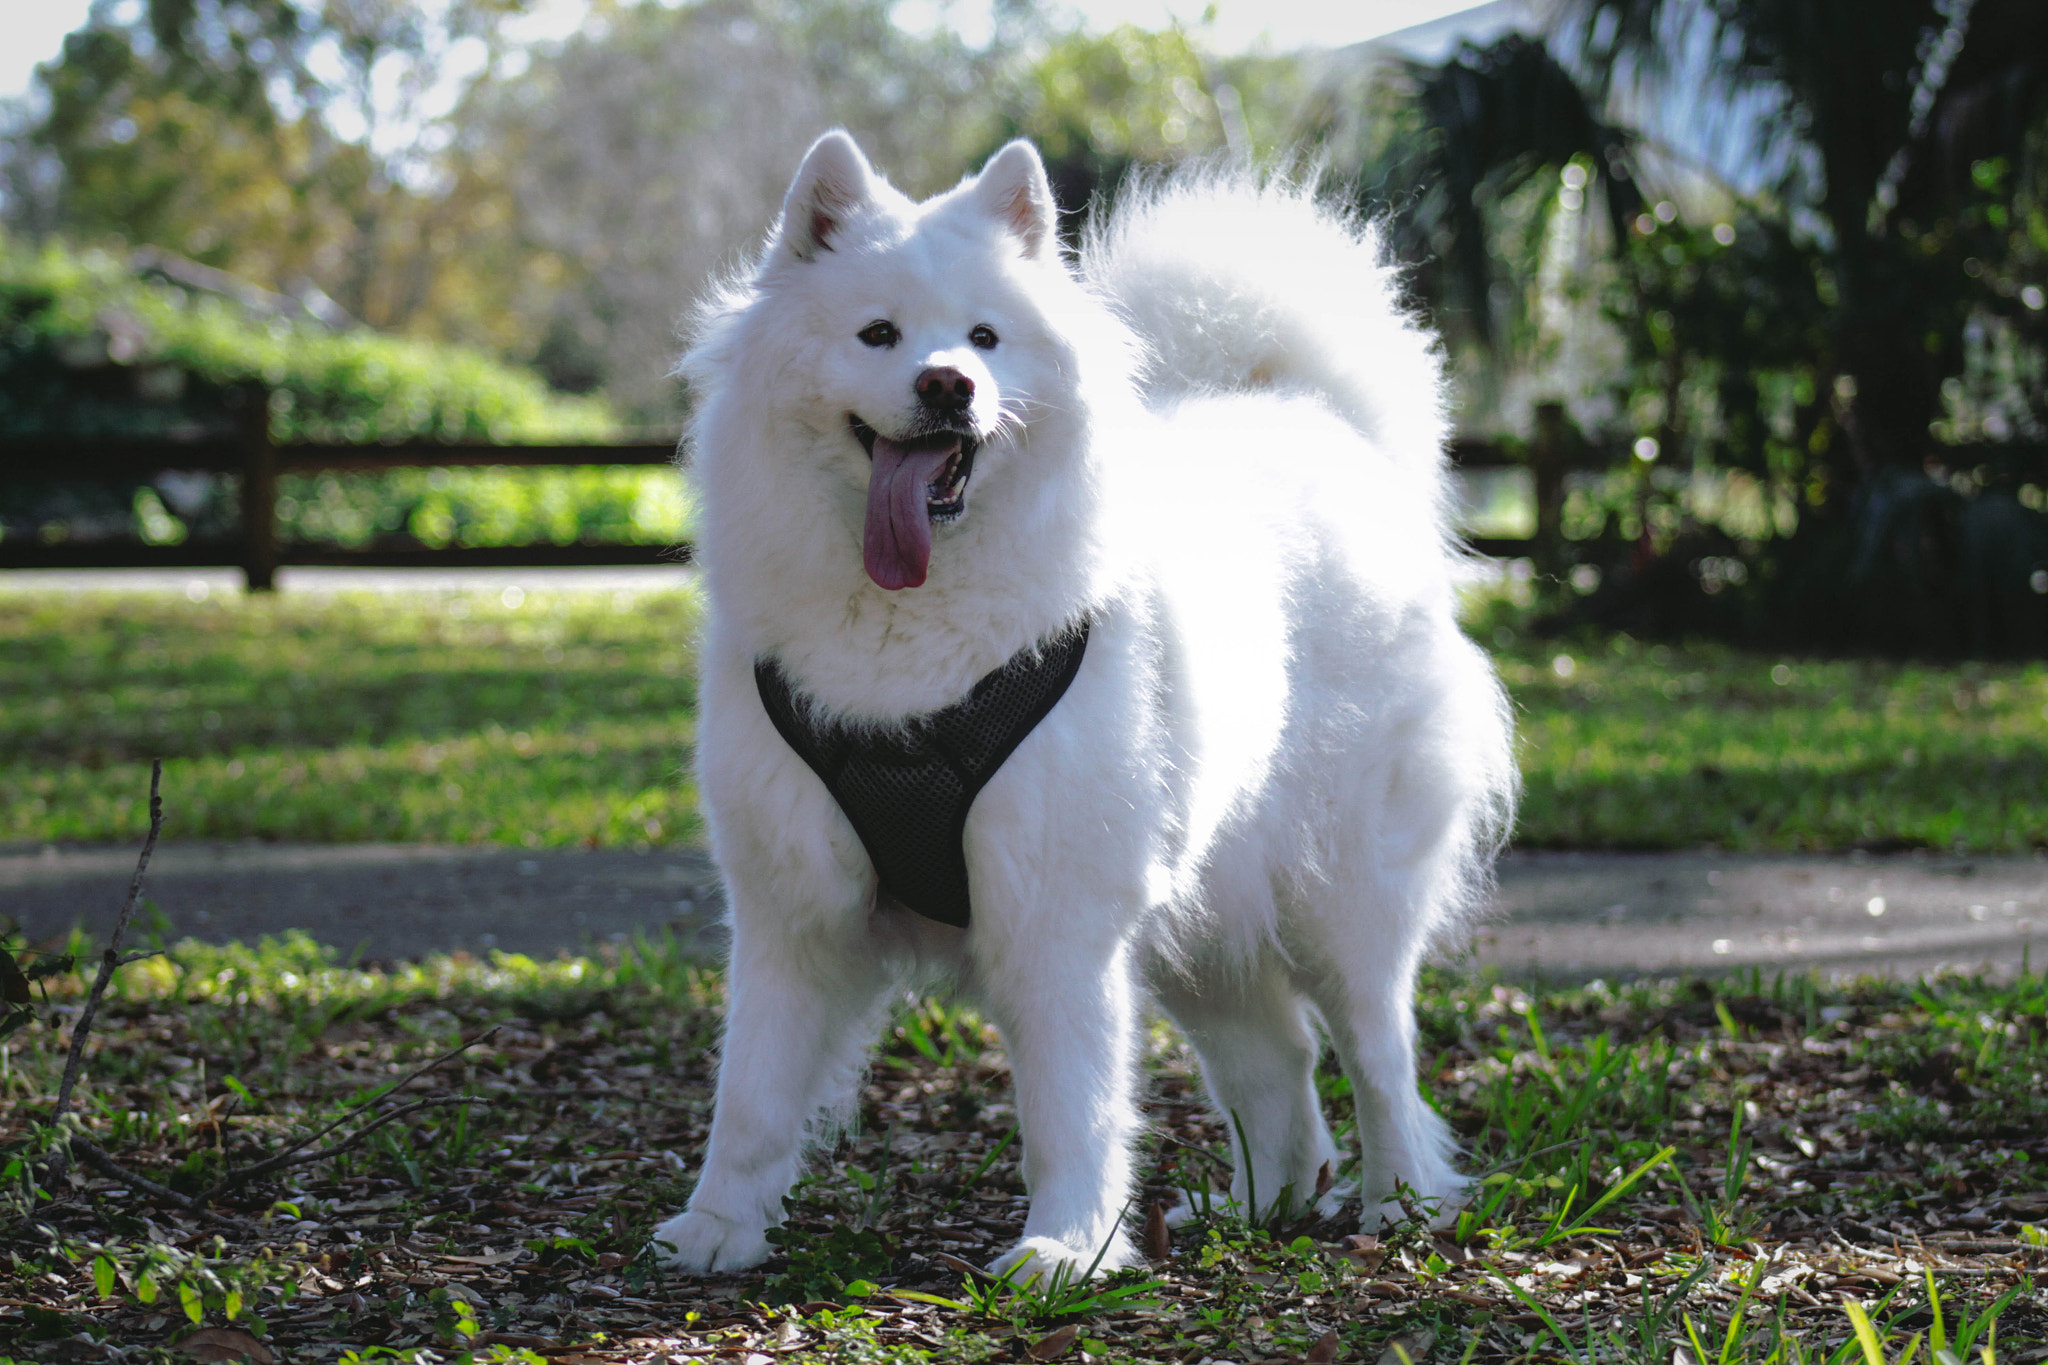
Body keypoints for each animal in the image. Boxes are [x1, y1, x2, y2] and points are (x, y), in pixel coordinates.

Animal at [655, 130, 1523, 1285]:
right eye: (878, 333)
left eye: (985, 337)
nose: (947, 383)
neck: (904, 646)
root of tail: (1316, 418)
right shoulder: (791, 909)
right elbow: (749, 1092)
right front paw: (717, 1226)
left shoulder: (1054, 917)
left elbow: (1072, 1107)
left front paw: (1065, 1247)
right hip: (1203, 912)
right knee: (1279, 1062)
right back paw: (1261, 1208)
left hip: (1342, 901)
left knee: (1378, 1057)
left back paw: (1399, 1207)